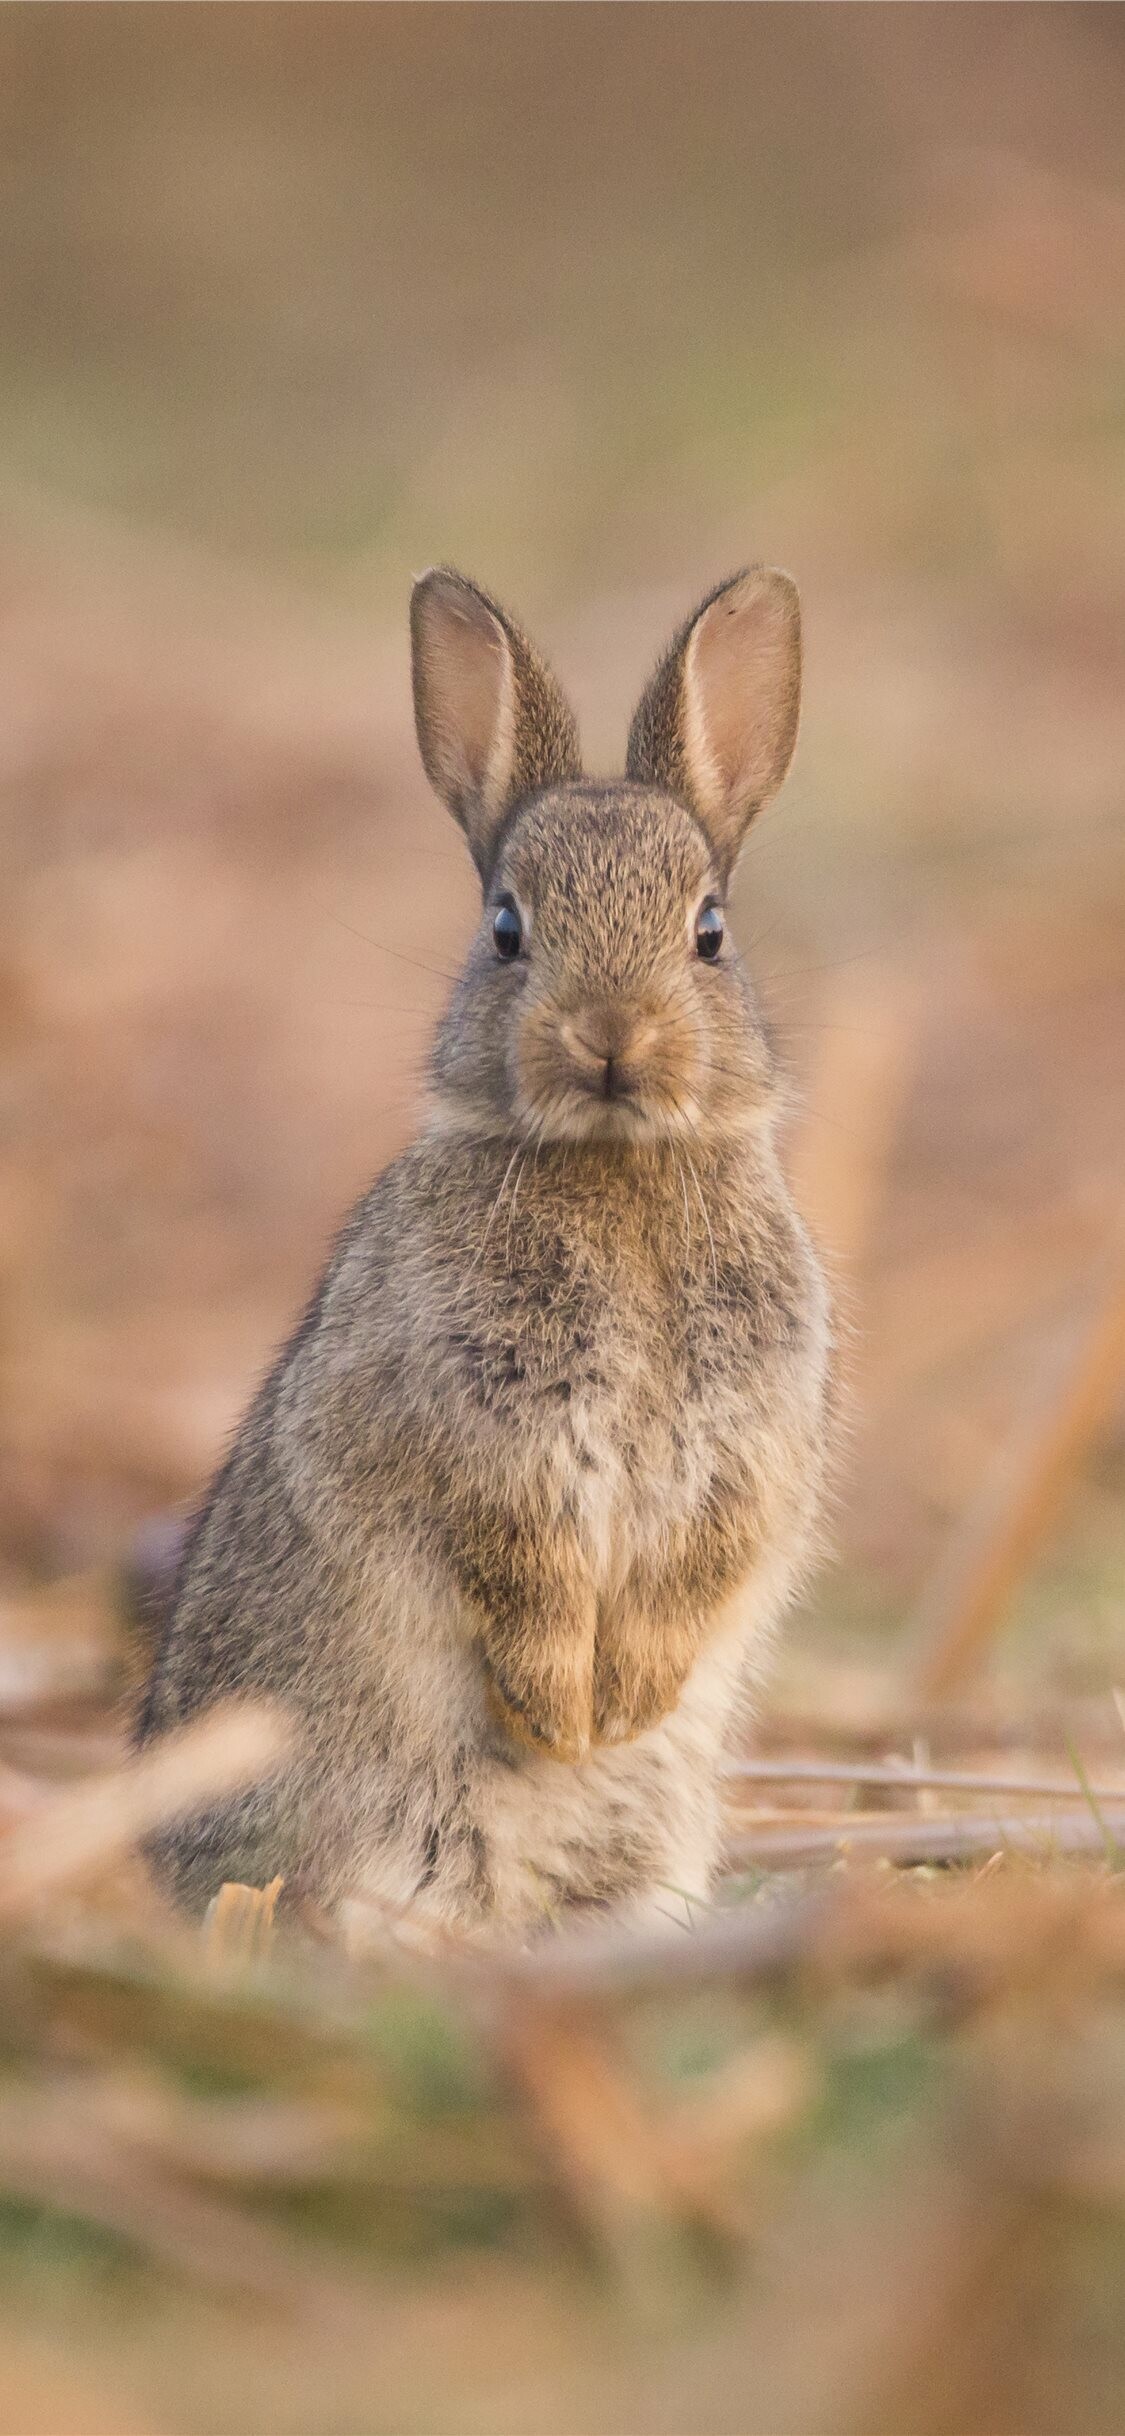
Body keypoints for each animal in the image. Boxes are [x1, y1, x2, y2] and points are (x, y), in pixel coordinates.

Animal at [133, 565, 832, 1939]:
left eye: (709, 932)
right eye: (508, 928)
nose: (611, 1036)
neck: (615, 1163)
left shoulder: (748, 1443)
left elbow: (700, 1564)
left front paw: (624, 1705)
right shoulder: (475, 1433)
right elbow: (519, 1567)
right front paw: (564, 1715)